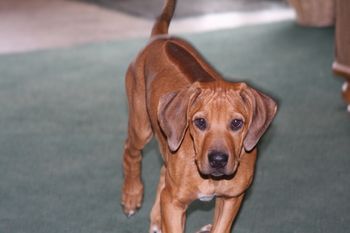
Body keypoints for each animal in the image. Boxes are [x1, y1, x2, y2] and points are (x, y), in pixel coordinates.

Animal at [121, 0, 278, 232]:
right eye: (200, 122)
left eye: (237, 123)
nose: (218, 160)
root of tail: (160, 36)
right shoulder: (174, 203)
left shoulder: (232, 198)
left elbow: (220, 227)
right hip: (141, 124)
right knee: (130, 151)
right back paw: (132, 195)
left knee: (163, 170)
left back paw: (157, 218)